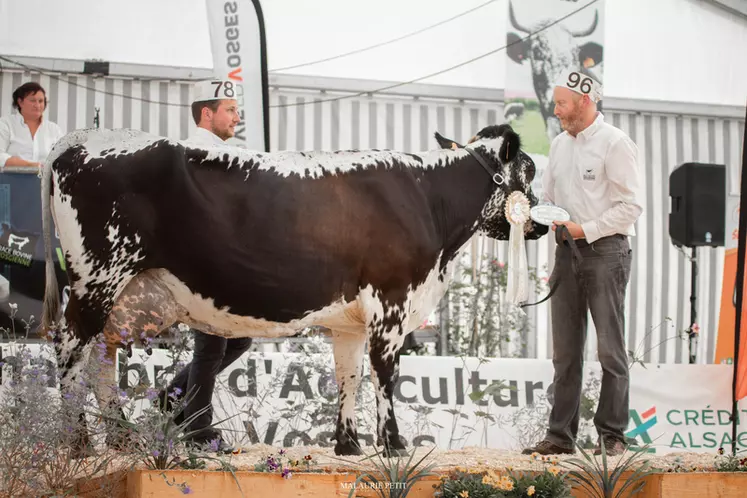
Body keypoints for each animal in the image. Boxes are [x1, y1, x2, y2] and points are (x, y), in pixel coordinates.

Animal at [41, 123, 548, 456]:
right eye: (530, 170)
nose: (542, 222)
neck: (429, 198)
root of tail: (74, 140)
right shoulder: (391, 301)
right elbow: (385, 376)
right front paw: (393, 445)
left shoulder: (352, 321)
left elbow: (348, 376)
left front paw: (348, 445)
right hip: (98, 277)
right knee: (71, 350)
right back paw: (77, 442)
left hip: (127, 295)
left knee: (102, 357)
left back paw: (121, 438)